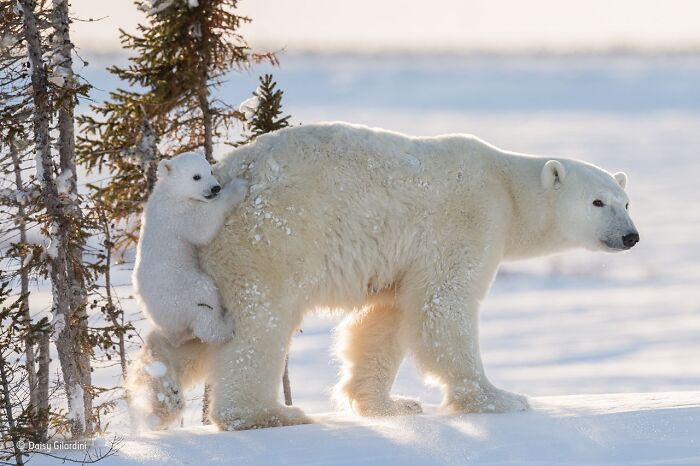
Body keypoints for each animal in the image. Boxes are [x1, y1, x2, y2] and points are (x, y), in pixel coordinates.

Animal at [132, 151, 248, 347]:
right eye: (196, 176)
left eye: (210, 170)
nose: (215, 188)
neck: (170, 192)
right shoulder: (178, 214)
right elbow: (202, 226)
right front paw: (238, 186)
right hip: (183, 291)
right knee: (205, 301)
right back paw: (228, 324)